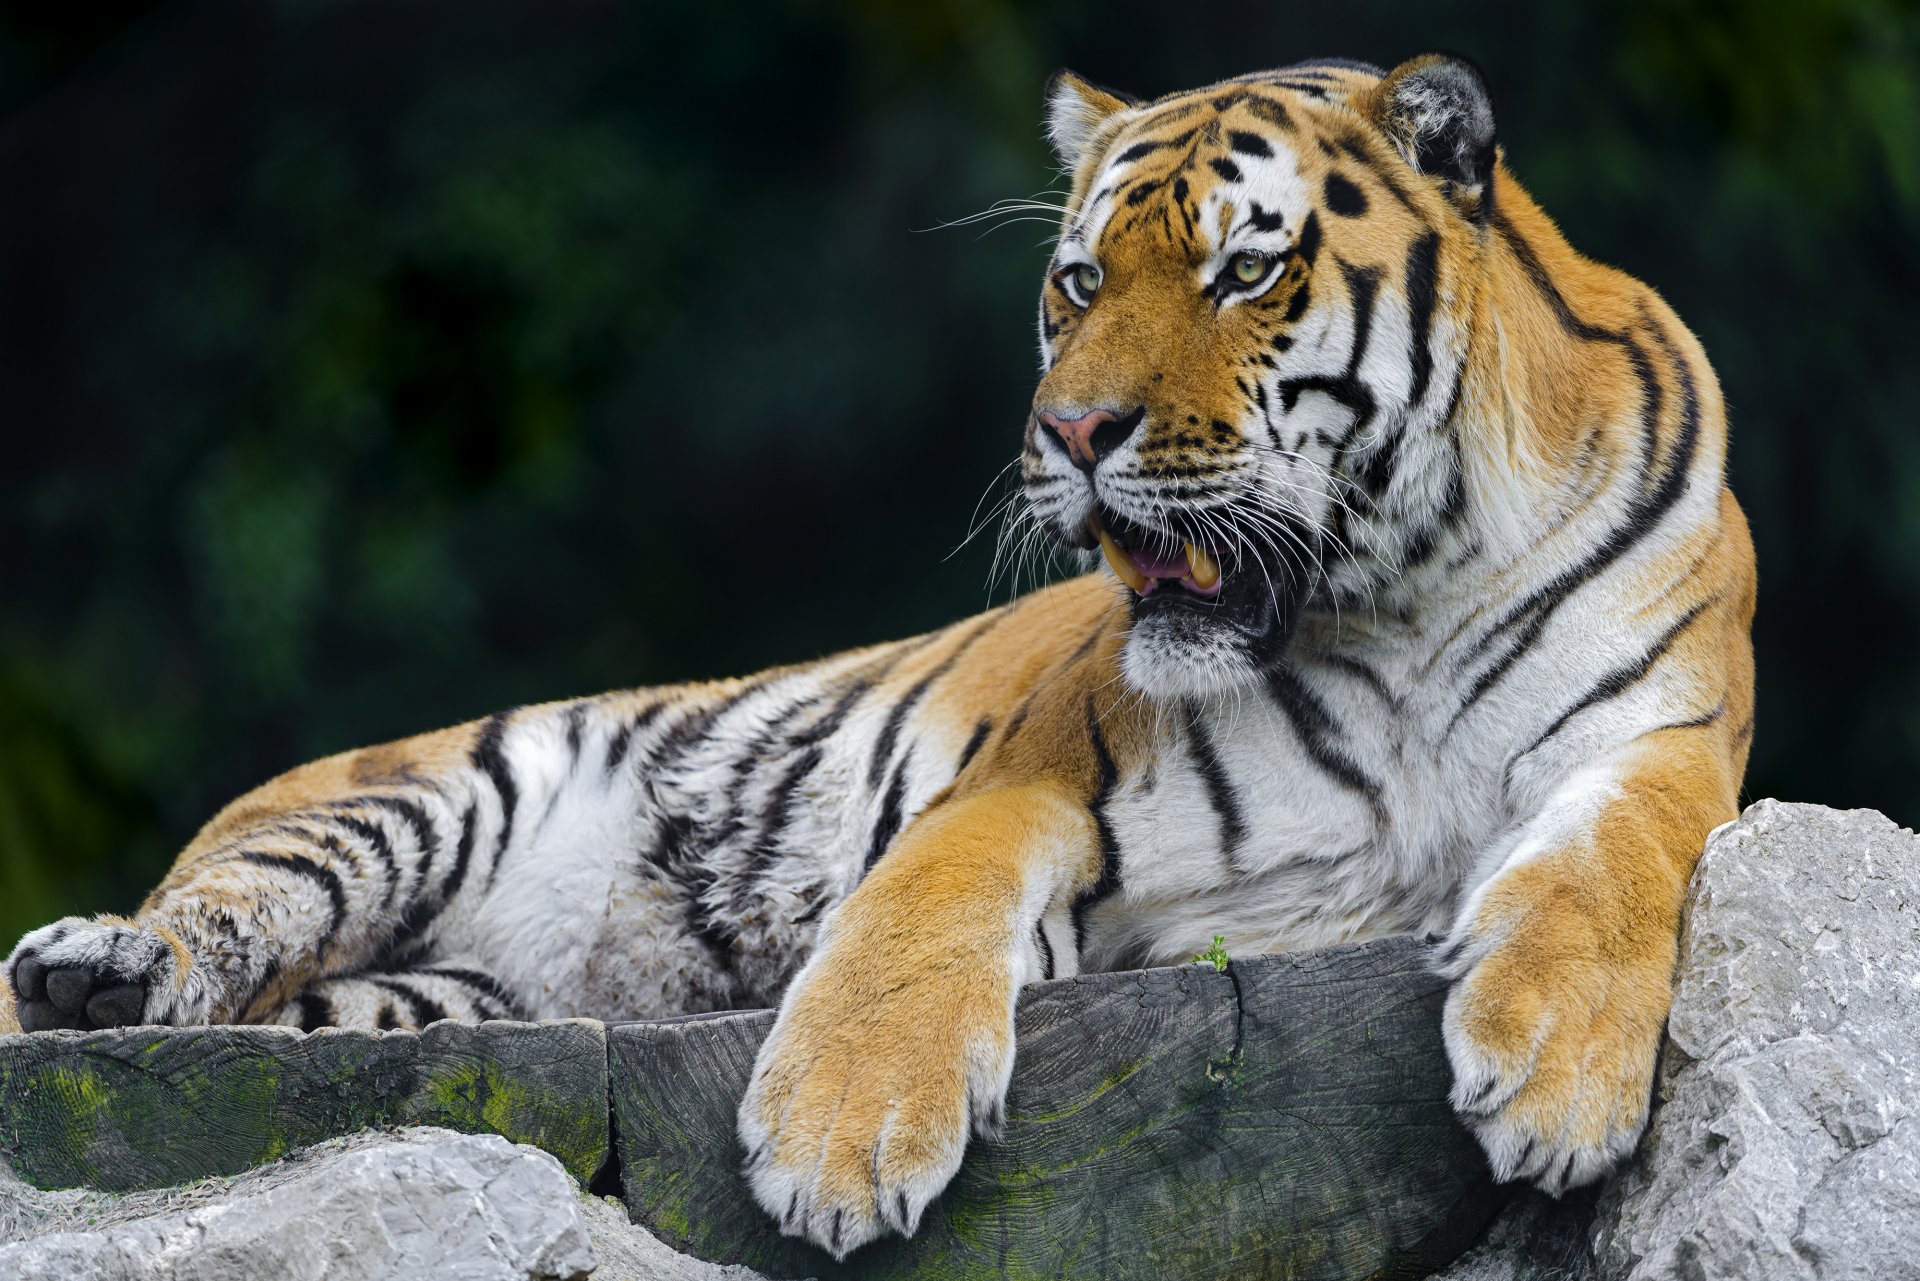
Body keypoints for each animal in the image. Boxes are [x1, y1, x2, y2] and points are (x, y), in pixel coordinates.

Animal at [4, 52, 1753, 1261]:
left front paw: (1556, 1082)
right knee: (210, 922)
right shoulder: (1041, 777)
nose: (1072, 431)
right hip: (417, 798)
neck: (1400, 596)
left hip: (423, 1001)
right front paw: (841, 1148)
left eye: (1246, 269)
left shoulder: (1669, 742)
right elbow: (914, 922)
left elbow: (1618, 867)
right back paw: (95, 967)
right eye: (1079, 280)